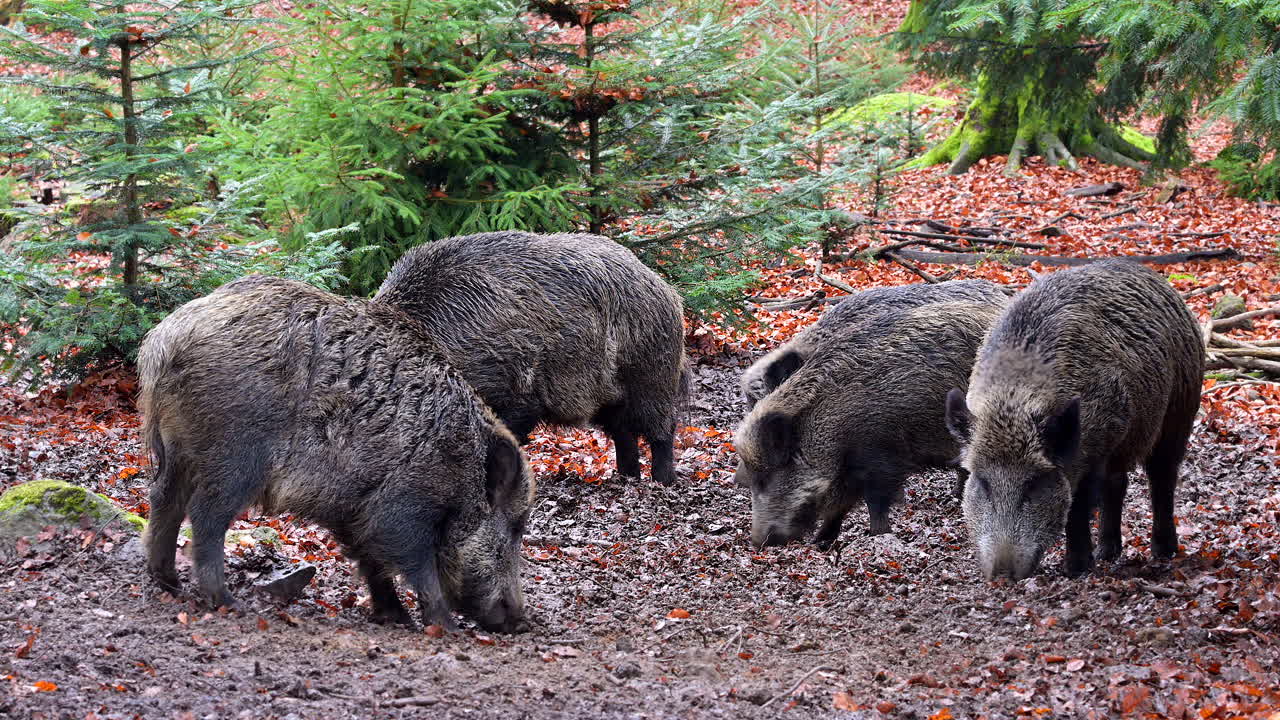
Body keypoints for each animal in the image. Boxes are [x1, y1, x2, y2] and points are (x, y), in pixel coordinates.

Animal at [138, 275, 534, 632]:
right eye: (515, 526)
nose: (520, 622)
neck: (462, 468)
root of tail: (166, 338)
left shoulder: (353, 509)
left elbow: (371, 562)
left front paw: (396, 618)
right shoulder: (403, 506)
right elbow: (418, 568)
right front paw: (445, 628)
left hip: (181, 448)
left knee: (164, 499)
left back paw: (168, 581)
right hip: (233, 454)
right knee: (204, 515)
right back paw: (226, 601)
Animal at [374, 231, 687, 485]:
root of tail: (665, 288)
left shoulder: (512, 391)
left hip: (650, 374)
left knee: (662, 428)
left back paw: (662, 481)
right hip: (610, 395)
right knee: (623, 433)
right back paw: (625, 478)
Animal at [735, 299, 1007, 547]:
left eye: (766, 478)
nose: (757, 542)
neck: (831, 422)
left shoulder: (882, 456)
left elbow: (875, 502)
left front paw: (878, 535)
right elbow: (838, 507)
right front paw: (821, 543)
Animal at [944, 260, 1203, 580]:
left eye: (1034, 483)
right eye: (982, 482)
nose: (1003, 574)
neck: (1014, 400)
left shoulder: (1096, 446)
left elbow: (1077, 508)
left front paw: (1076, 570)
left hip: (1179, 411)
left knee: (1162, 478)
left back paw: (1163, 551)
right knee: (1118, 483)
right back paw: (1107, 553)